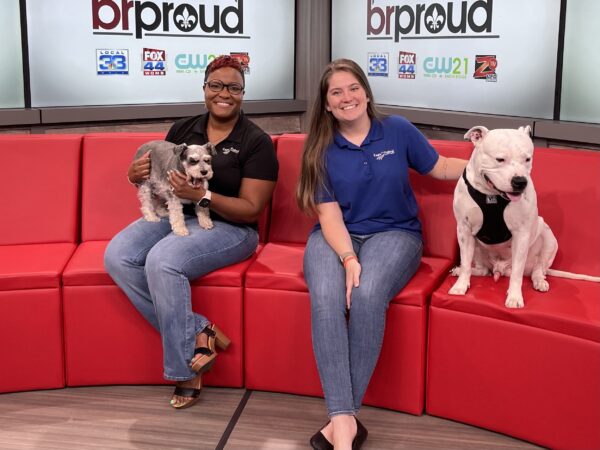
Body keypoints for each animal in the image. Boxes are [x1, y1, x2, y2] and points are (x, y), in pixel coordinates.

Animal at [450, 125, 600, 308]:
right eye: (500, 159)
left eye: (527, 159)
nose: (520, 181)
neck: (492, 196)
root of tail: (500, 269)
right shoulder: (464, 230)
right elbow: (465, 263)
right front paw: (460, 286)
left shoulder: (521, 235)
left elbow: (517, 272)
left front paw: (514, 297)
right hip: (478, 248)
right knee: (483, 269)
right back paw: (463, 271)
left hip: (548, 238)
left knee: (538, 269)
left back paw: (539, 281)